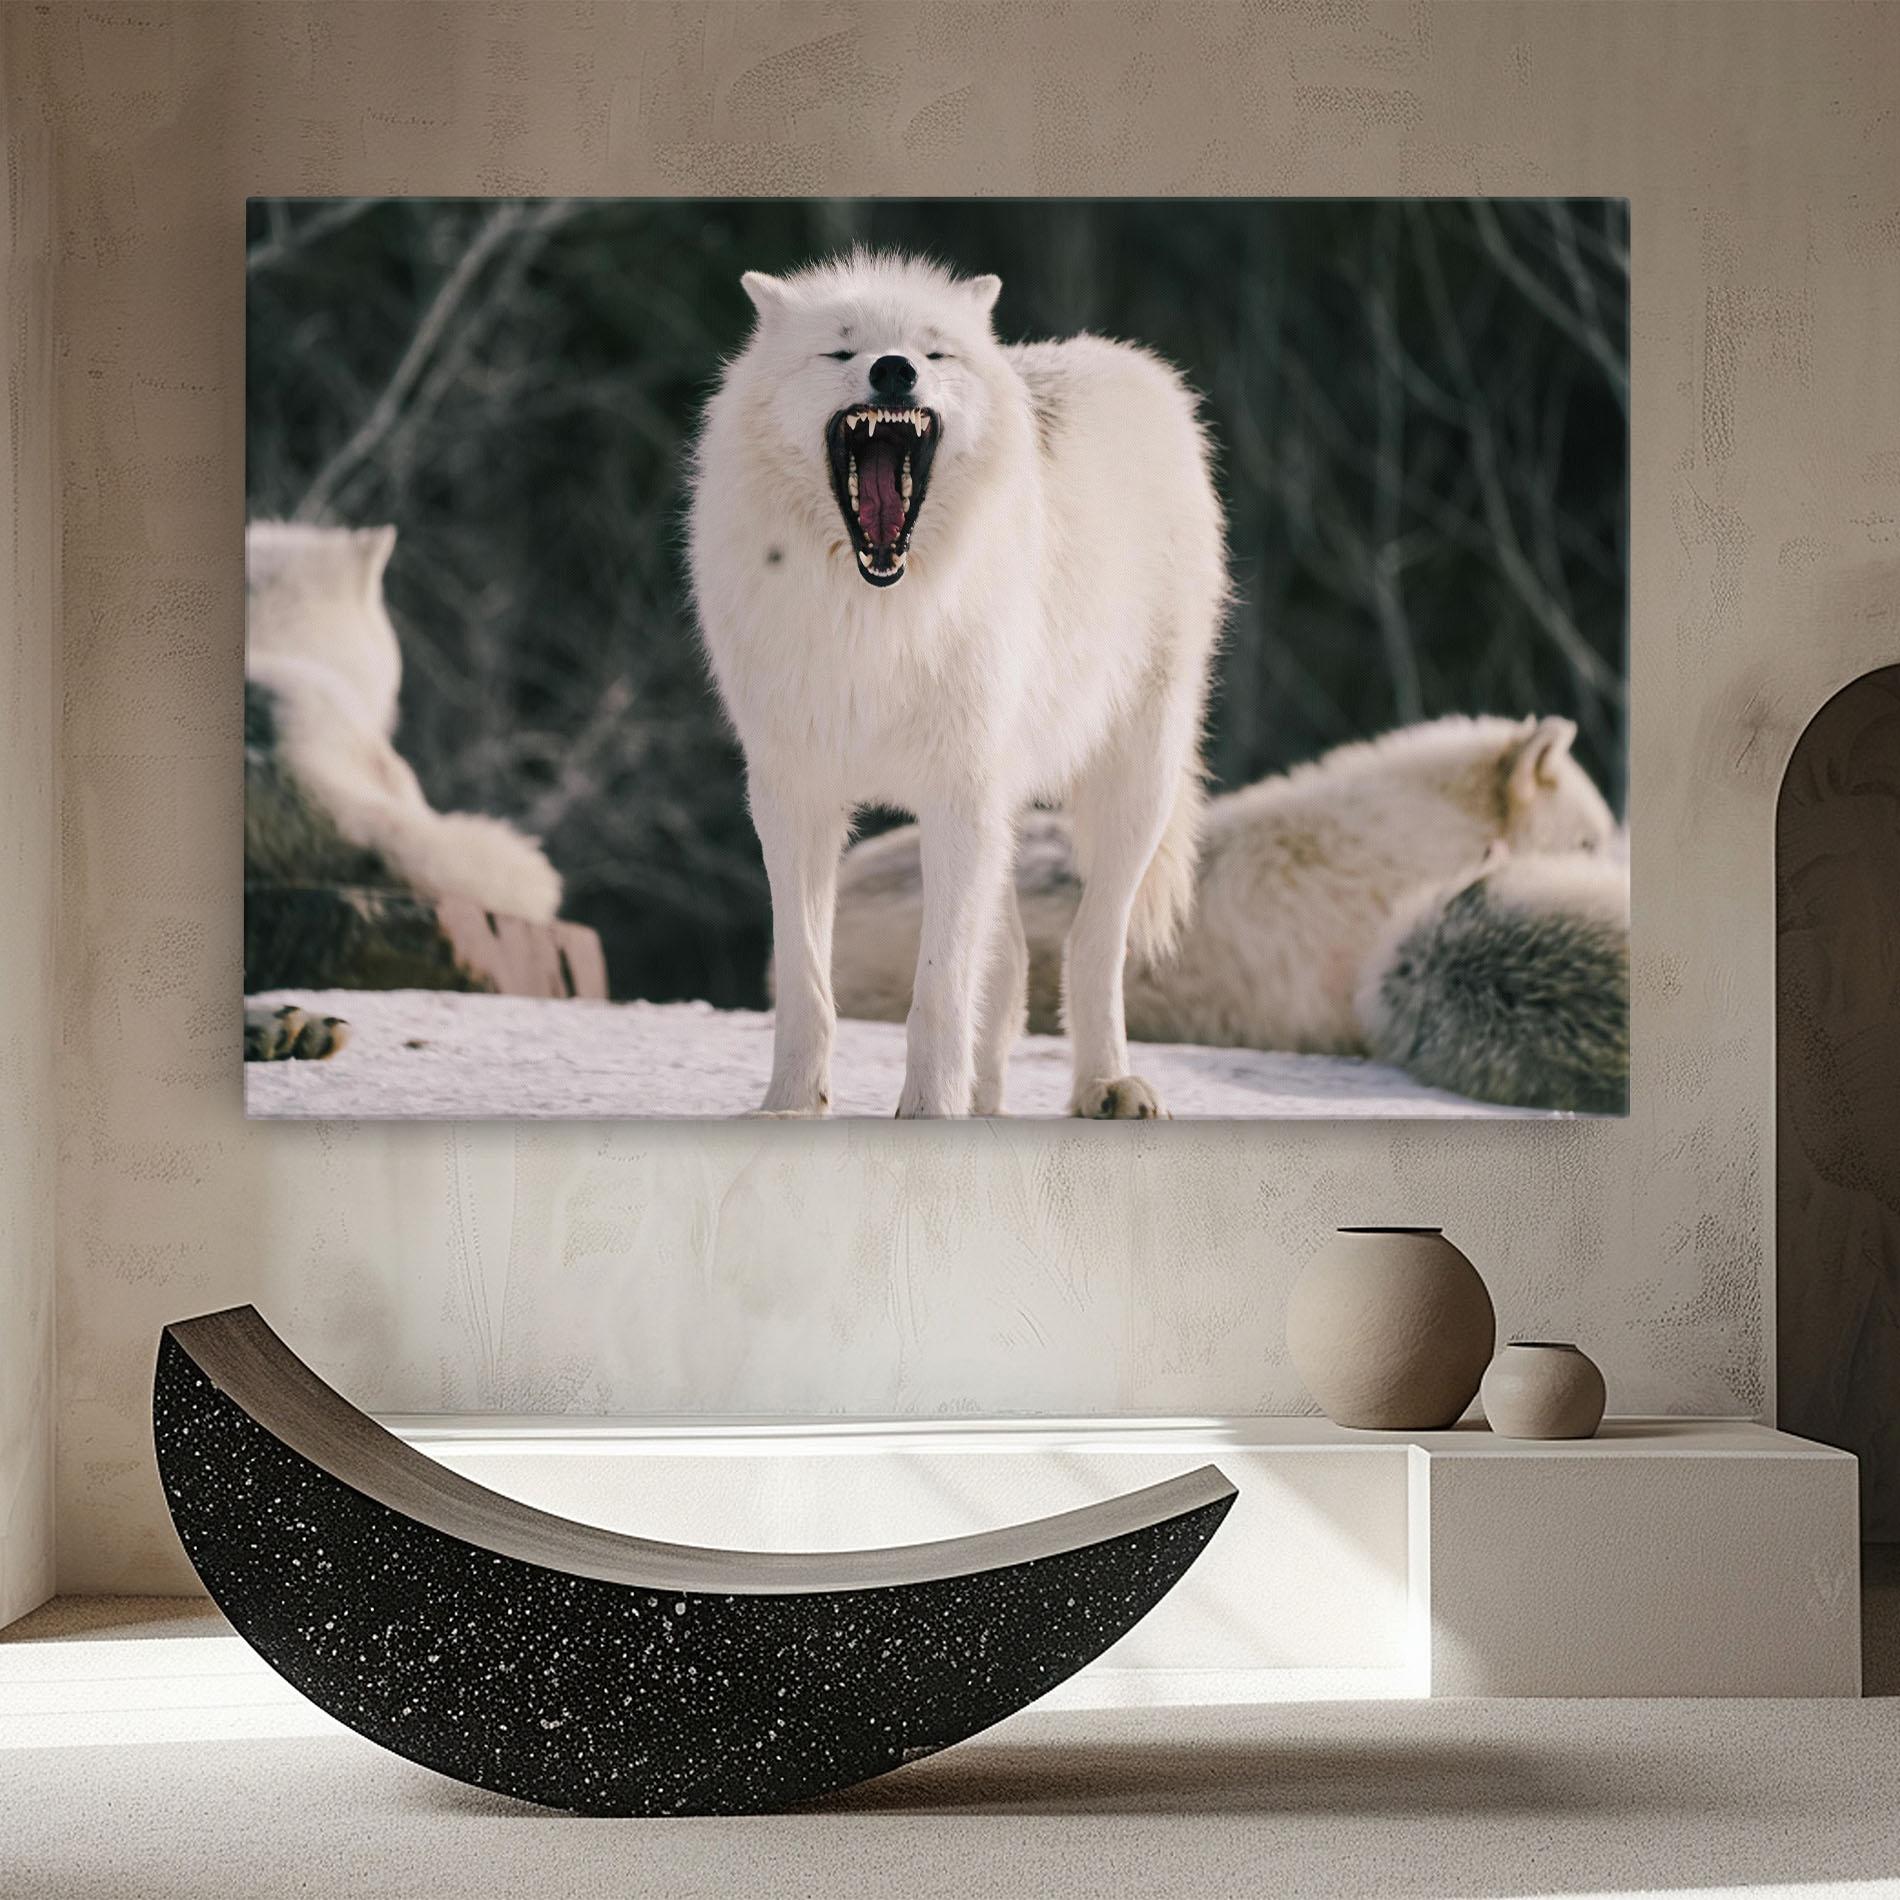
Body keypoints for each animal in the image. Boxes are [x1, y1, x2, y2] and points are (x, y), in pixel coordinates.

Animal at [689, 252, 1225, 1118]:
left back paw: (1107, 1084)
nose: (894, 370)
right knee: (1008, 963)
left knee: (1092, 942)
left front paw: (928, 1110)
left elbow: (939, 987)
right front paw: (791, 1106)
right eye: (842, 350)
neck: (875, 617)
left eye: (933, 352)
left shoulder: (957, 796)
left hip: (1133, 783)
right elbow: (806, 980)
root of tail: (1129, 363)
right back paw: (989, 1100)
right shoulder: (793, 797)